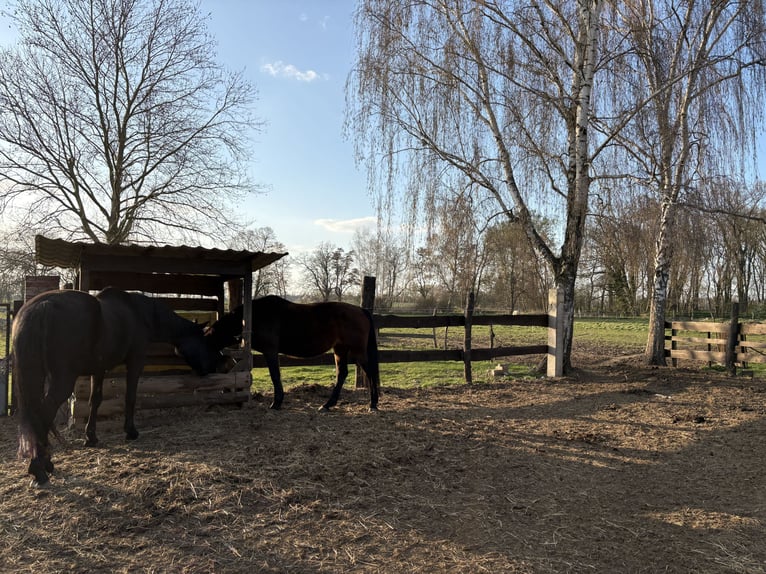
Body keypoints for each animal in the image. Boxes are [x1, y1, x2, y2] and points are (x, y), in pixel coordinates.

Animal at [12, 287, 217, 487]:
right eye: (204, 341)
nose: (208, 369)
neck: (139, 313)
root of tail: (42, 307)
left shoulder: (99, 369)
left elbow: (95, 401)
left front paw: (91, 437)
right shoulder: (135, 362)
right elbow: (130, 397)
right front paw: (131, 431)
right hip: (63, 380)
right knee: (44, 413)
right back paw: (40, 468)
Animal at [205, 295, 380, 412]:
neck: (258, 315)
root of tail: (361, 310)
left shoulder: (270, 351)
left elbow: (275, 376)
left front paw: (276, 403)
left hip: (357, 351)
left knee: (370, 372)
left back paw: (373, 404)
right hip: (340, 350)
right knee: (342, 374)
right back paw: (327, 405)